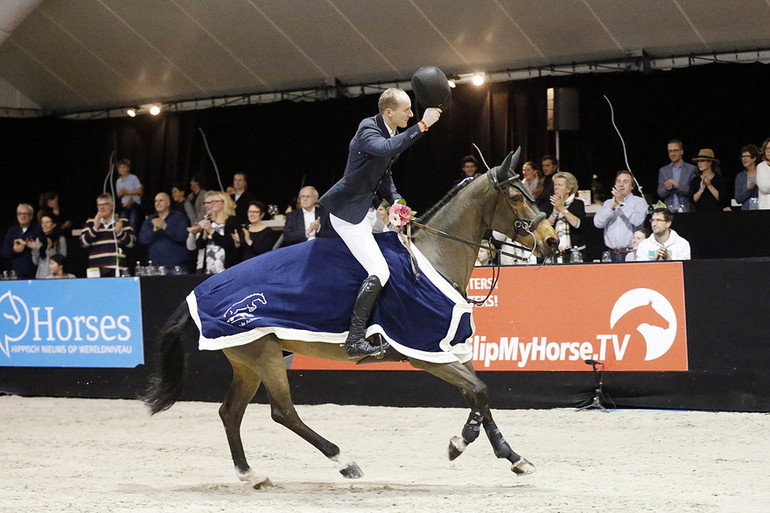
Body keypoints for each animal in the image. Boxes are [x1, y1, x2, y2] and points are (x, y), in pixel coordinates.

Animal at [141, 147, 556, 484]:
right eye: (516, 197)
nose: (552, 241)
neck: (433, 257)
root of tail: (201, 290)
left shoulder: (450, 348)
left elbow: (479, 396)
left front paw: (514, 458)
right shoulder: (425, 353)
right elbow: (479, 392)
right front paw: (459, 443)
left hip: (247, 360)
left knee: (231, 412)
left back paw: (251, 474)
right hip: (264, 357)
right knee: (283, 412)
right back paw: (343, 461)